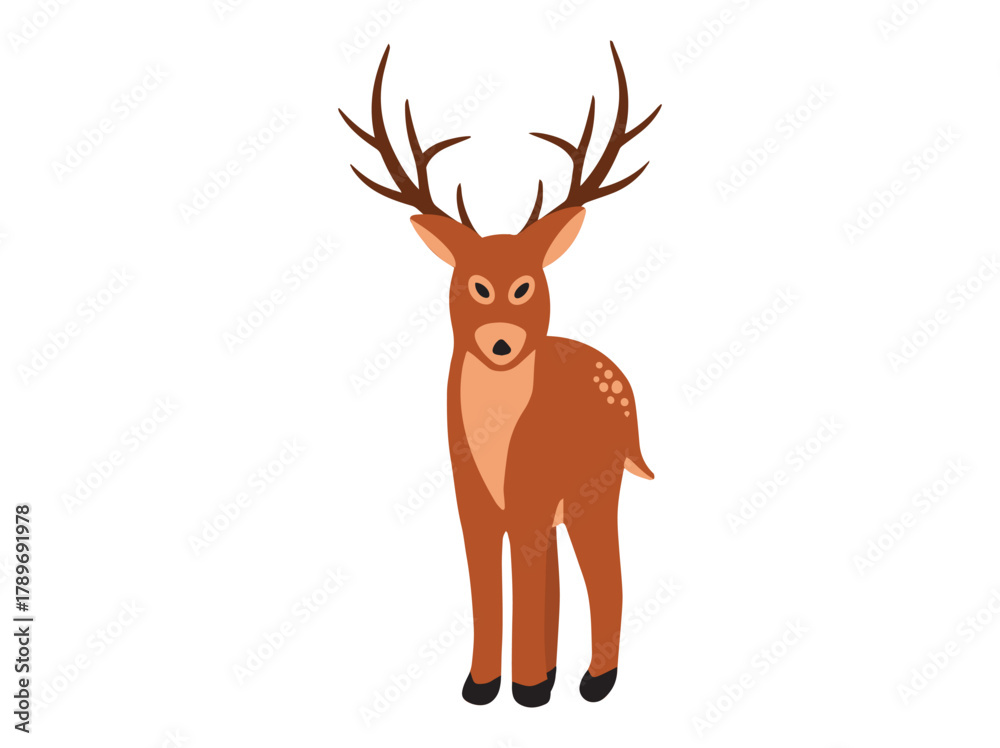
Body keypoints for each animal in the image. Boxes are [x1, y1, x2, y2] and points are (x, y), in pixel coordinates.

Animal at [341, 42, 659, 707]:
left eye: (525, 286)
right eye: (476, 285)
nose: (503, 343)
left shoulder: (532, 494)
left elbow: (530, 578)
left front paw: (529, 689)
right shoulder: (471, 497)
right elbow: (486, 583)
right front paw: (481, 685)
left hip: (595, 483)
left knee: (605, 571)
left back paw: (595, 681)